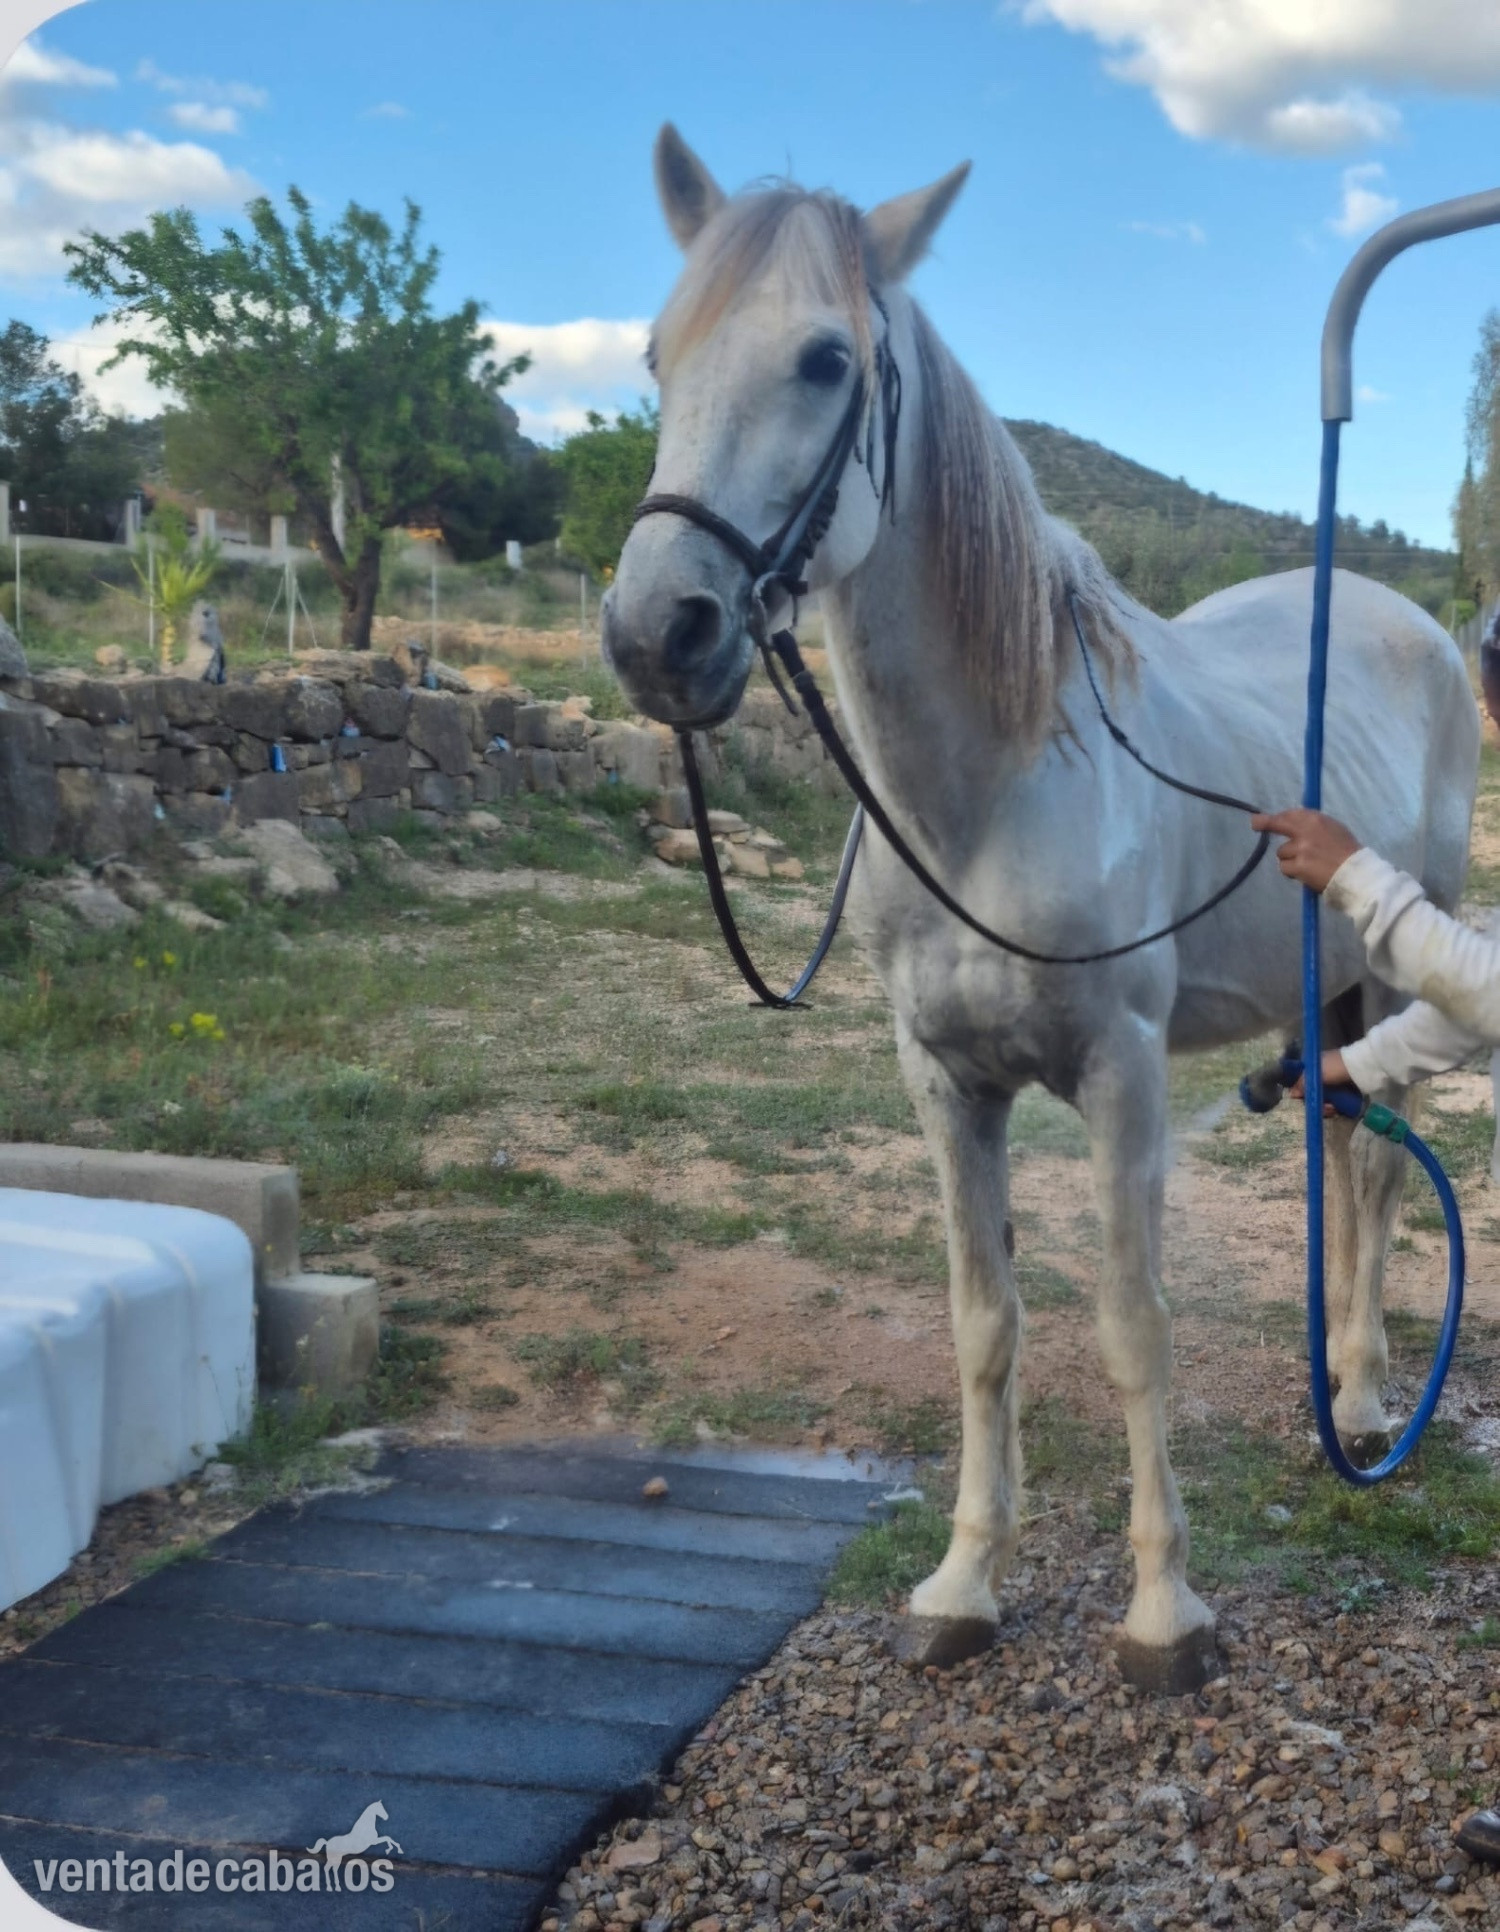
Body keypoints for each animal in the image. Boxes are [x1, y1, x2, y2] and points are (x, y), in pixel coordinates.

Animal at [603, 125, 1479, 1692]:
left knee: (1381, 1182)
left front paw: (1164, 1611)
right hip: (1323, 1001)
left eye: (826, 359)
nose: (661, 636)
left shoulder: (1122, 1073)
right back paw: (1336, 1379)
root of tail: (1411, 624)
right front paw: (967, 1581)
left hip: (1398, 969)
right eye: (657, 354)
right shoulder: (946, 1082)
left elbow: (1133, 1328)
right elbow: (984, 1326)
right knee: (1340, 1154)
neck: (992, 790)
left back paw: (1372, 1401)